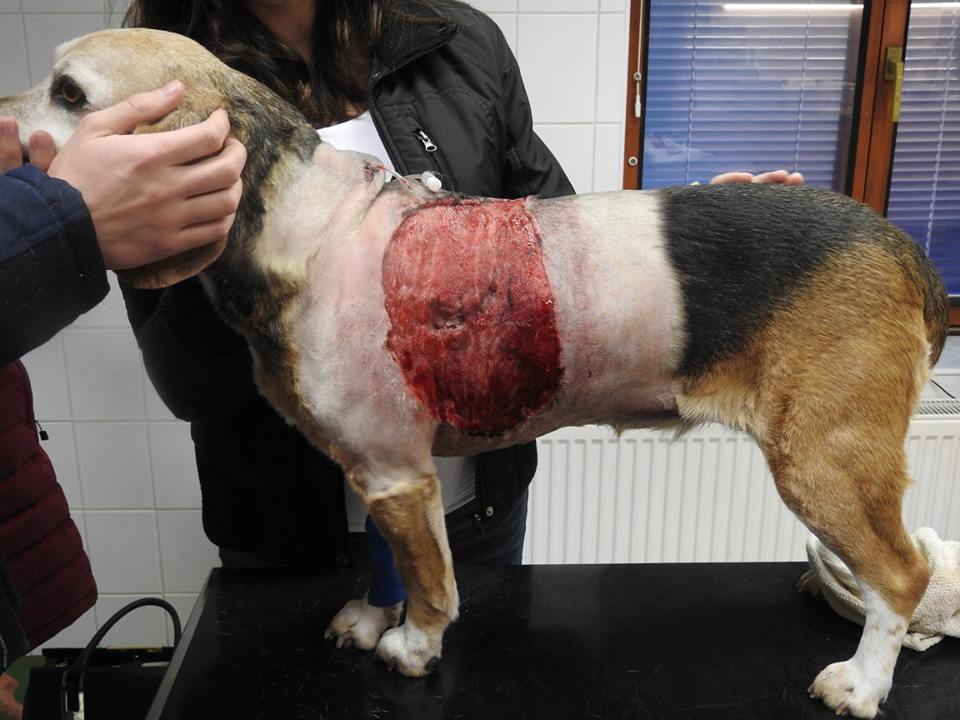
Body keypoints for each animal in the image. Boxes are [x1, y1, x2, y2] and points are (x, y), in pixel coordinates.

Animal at [1, 29, 949, 719]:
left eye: (70, 93)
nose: (4, 124)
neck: (299, 219)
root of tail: (901, 245)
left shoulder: (397, 475)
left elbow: (431, 585)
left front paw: (413, 647)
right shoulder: (382, 474)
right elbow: (386, 563)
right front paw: (371, 616)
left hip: (822, 461)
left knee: (902, 575)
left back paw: (863, 682)